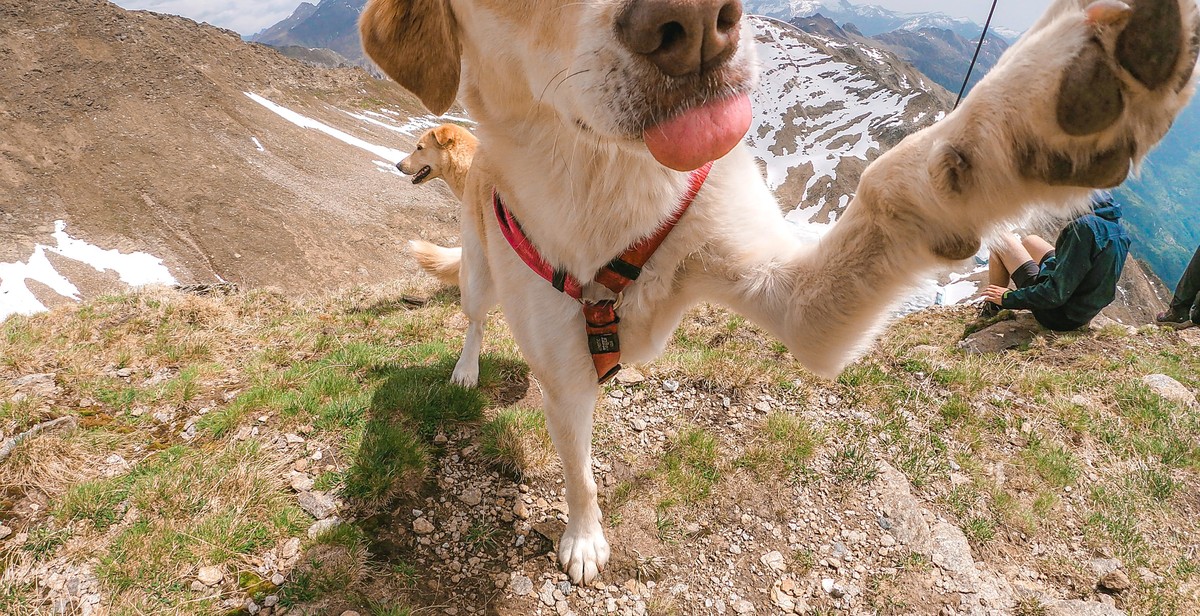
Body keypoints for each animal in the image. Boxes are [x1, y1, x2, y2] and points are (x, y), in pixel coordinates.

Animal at [360, 0, 1195, 581]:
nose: (695, 24)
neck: (613, 182)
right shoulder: (564, 379)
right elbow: (580, 473)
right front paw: (585, 538)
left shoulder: (793, 299)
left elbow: (893, 183)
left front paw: (1035, 112)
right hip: (481, 268)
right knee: (473, 317)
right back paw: (466, 369)